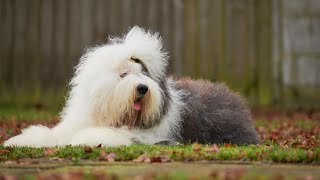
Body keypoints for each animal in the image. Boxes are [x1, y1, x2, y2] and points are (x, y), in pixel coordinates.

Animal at [3, 26, 258, 148]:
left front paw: (78, 140)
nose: (143, 88)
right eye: (124, 74)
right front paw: (20, 140)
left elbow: (101, 135)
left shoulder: (145, 136)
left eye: (145, 74)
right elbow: (53, 133)